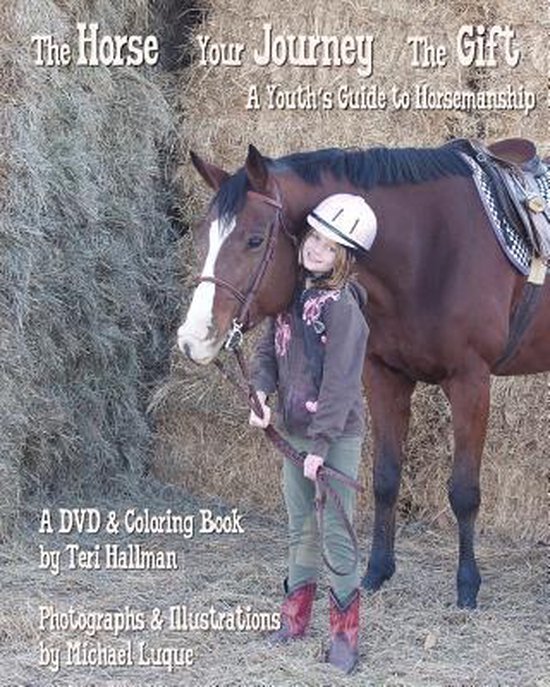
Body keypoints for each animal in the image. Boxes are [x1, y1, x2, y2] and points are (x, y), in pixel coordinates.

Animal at [177, 142, 550, 608]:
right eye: (203, 237)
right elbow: (385, 478)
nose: (192, 338)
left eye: (254, 239)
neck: (429, 246)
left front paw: (467, 585)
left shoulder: (471, 382)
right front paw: (375, 571)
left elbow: (464, 491)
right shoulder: (383, 376)